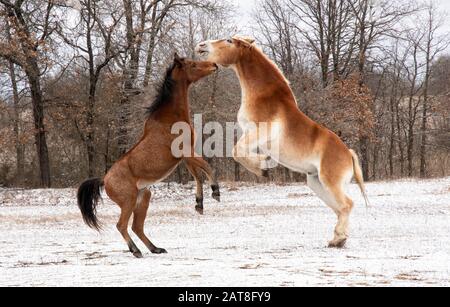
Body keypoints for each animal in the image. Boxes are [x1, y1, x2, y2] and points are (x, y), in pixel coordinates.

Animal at [78, 54, 221, 258]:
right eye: (193, 65)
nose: (214, 65)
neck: (170, 118)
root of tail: (104, 180)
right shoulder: (185, 152)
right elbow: (207, 167)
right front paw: (216, 192)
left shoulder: (186, 156)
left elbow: (198, 175)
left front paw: (199, 204)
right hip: (129, 201)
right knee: (122, 225)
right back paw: (136, 250)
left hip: (143, 198)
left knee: (137, 227)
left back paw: (155, 248)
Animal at [196, 36, 370, 248]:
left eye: (229, 40)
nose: (201, 46)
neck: (263, 96)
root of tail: (348, 153)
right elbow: (238, 151)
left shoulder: (259, 132)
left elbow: (237, 151)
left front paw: (262, 168)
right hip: (316, 183)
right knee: (339, 208)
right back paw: (337, 238)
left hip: (329, 182)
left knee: (347, 204)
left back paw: (339, 240)